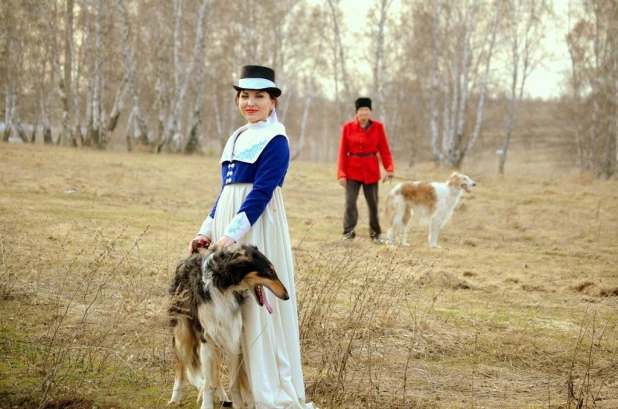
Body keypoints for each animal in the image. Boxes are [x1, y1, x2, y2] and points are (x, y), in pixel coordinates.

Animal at [165, 244, 288, 406]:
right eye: (269, 272)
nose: (287, 296)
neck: (223, 286)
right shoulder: (207, 338)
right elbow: (208, 383)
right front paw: (207, 405)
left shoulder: (232, 338)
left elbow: (232, 383)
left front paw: (238, 404)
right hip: (183, 334)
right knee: (181, 366)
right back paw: (174, 399)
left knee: (216, 373)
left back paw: (224, 398)